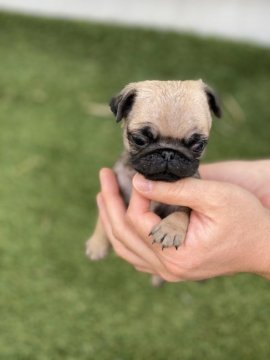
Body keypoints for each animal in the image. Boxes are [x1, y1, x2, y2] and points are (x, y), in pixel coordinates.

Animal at [85, 82, 220, 264]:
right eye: (139, 140)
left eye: (198, 145)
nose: (168, 153)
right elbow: (102, 219)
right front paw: (97, 243)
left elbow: (182, 212)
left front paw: (170, 229)